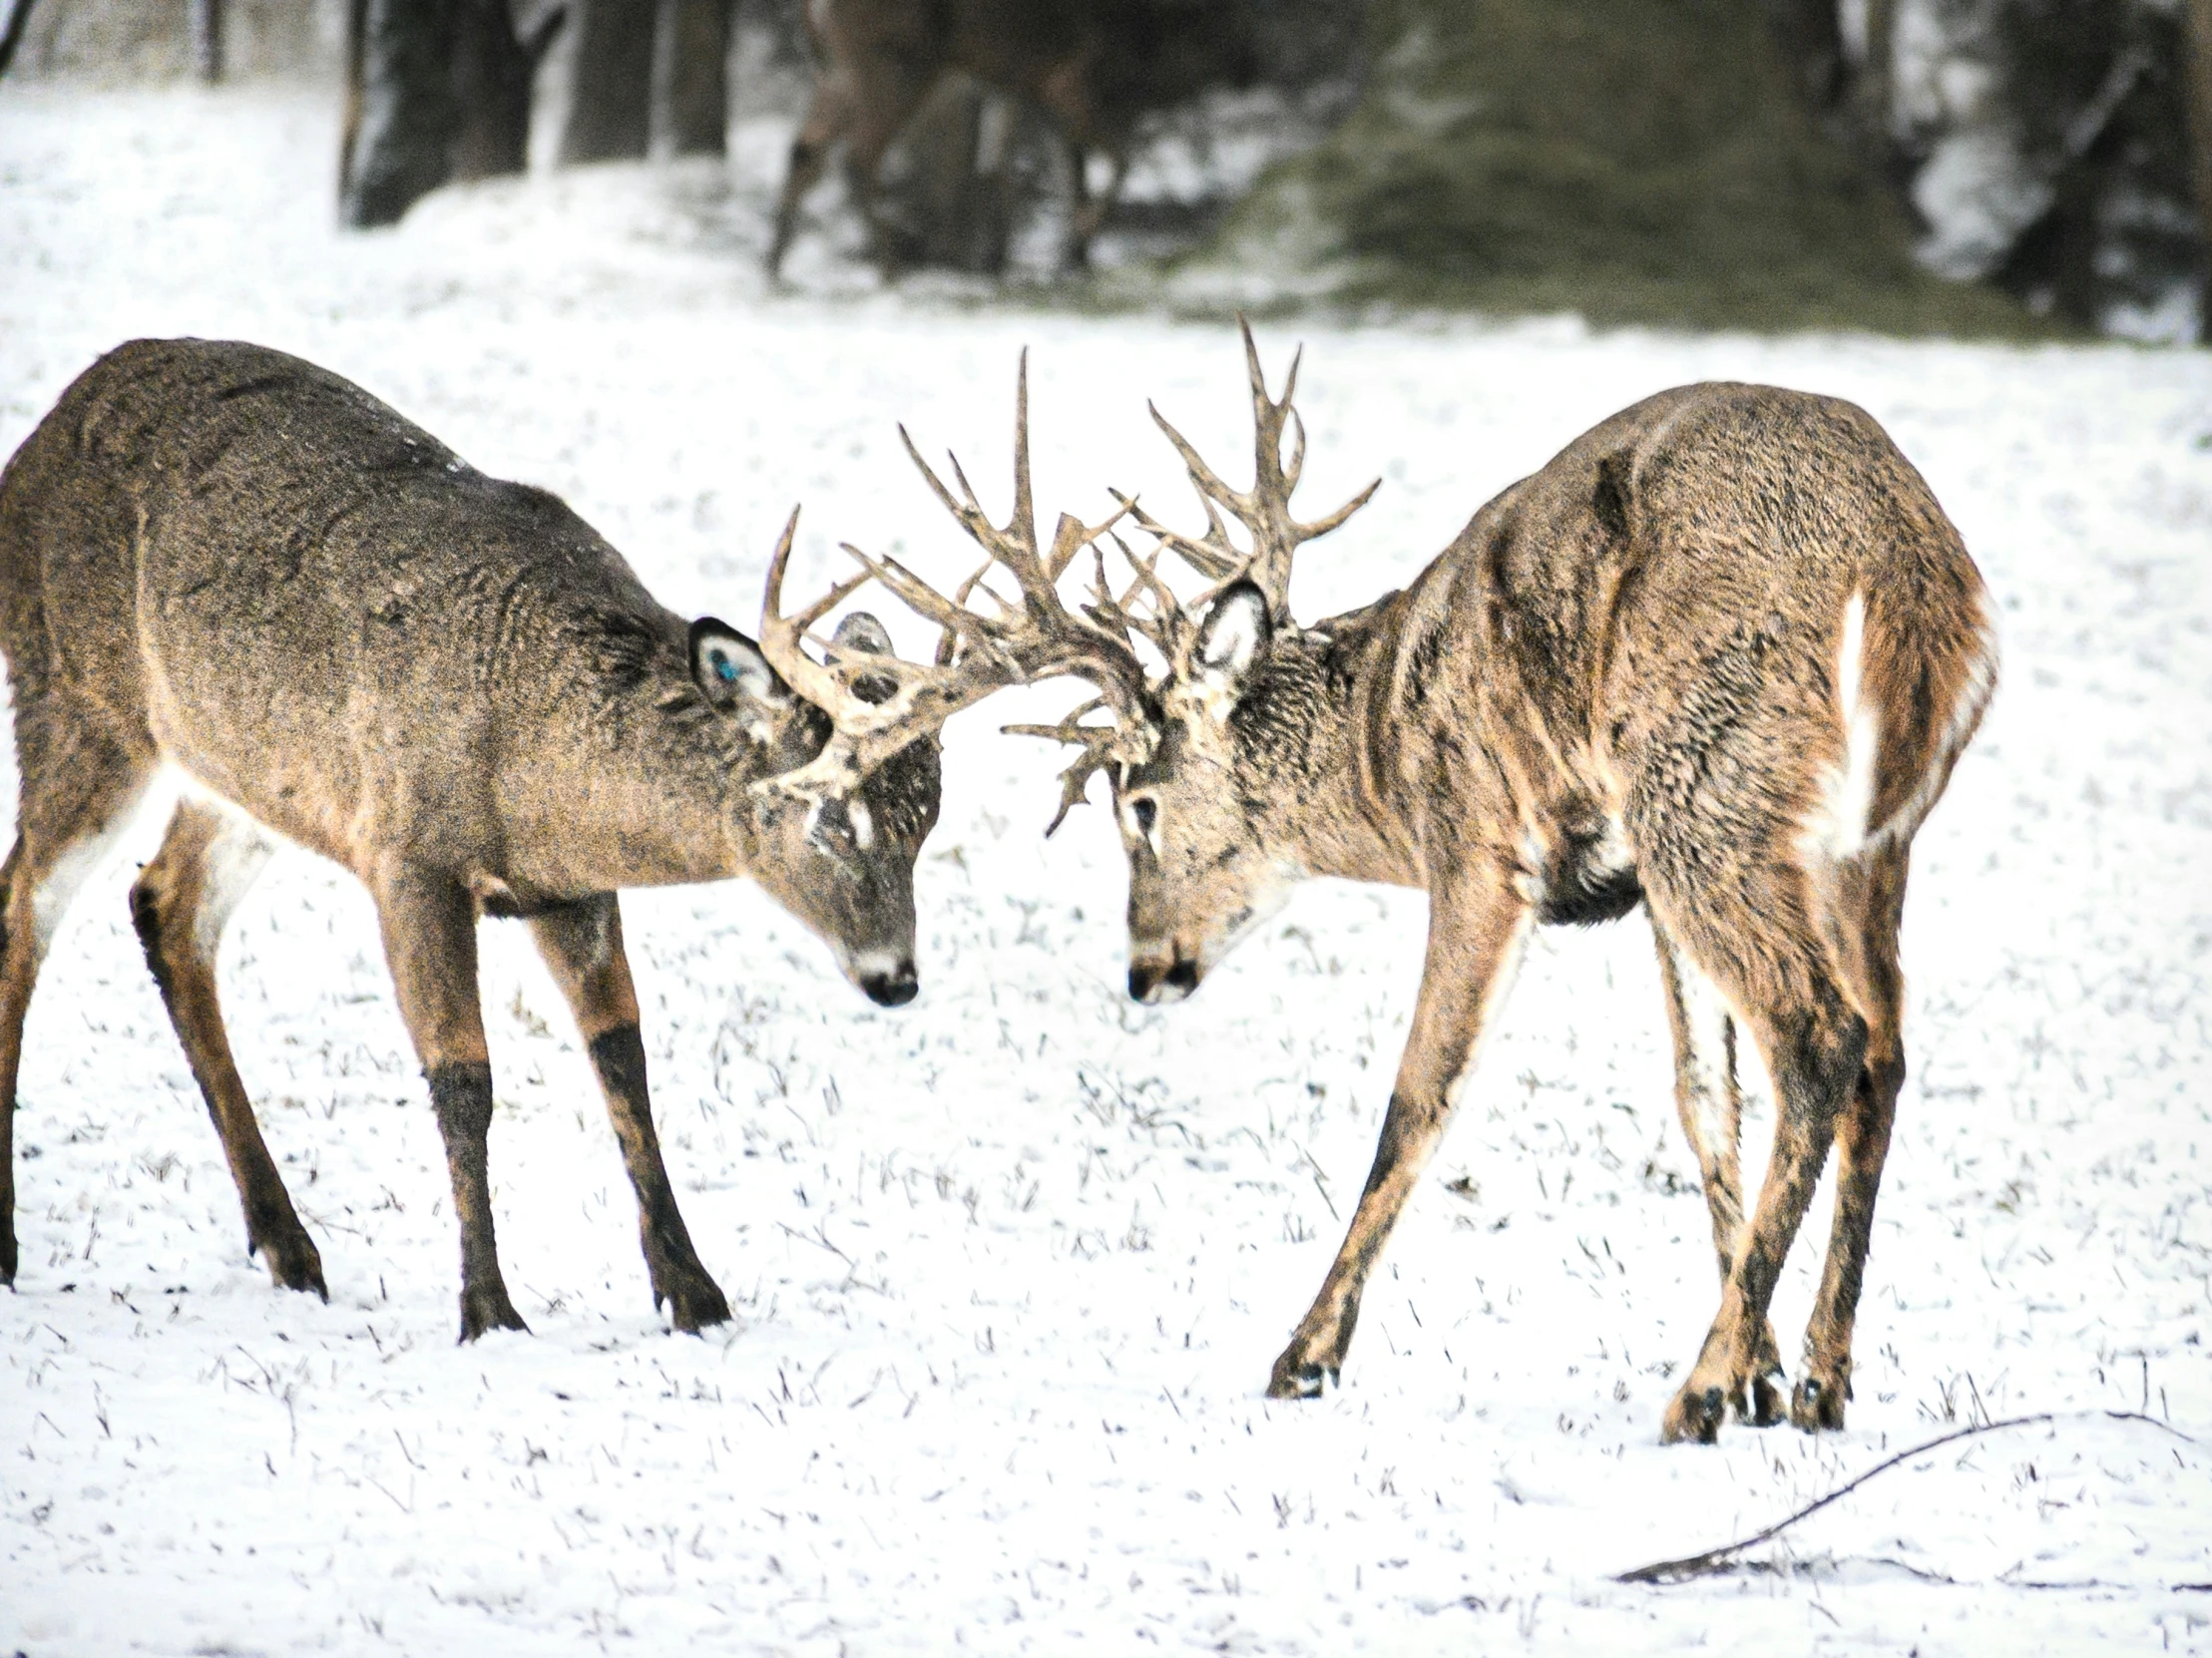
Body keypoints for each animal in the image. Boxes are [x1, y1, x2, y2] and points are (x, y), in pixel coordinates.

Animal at [0, 340, 1035, 1353]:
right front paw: (489, 1311)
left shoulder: (567, 886)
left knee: (164, 906)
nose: (895, 977)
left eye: (926, 822)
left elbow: (622, 1055)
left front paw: (693, 1292)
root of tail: (39, 440)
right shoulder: (407, 854)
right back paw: (15, 1244)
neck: (534, 759)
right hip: (80, 702)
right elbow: (464, 1078)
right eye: (828, 817)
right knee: (25, 904)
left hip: (244, 776)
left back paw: (290, 1247)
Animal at [769, 0, 1265, 276]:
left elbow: (1042, 172)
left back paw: (773, 262)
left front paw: (1071, 258)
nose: (1251, 71)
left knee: (804, 149)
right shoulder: (1069, 83)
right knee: (856, 158)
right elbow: (1118, 161)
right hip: (895, 62)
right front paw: (1072, 246)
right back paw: (888, 265)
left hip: (841, 68)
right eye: (1235, 27)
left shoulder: (1027, 88)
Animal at [880, 331, 2008, 1450]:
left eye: (1139, 804)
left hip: (1706, 780)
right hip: (1854, 845)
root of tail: (1905, 577)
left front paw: (1306, 1356)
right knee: (1879, 1053)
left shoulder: (1479, 841)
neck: (1383, 744)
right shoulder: (1641, 888)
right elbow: (1701, 1099)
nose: (1146, 969)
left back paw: (1691, 1398)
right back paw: (1820, 1381)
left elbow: (1421, 1094)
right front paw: (1760, 1373)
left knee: (1819, 1036)